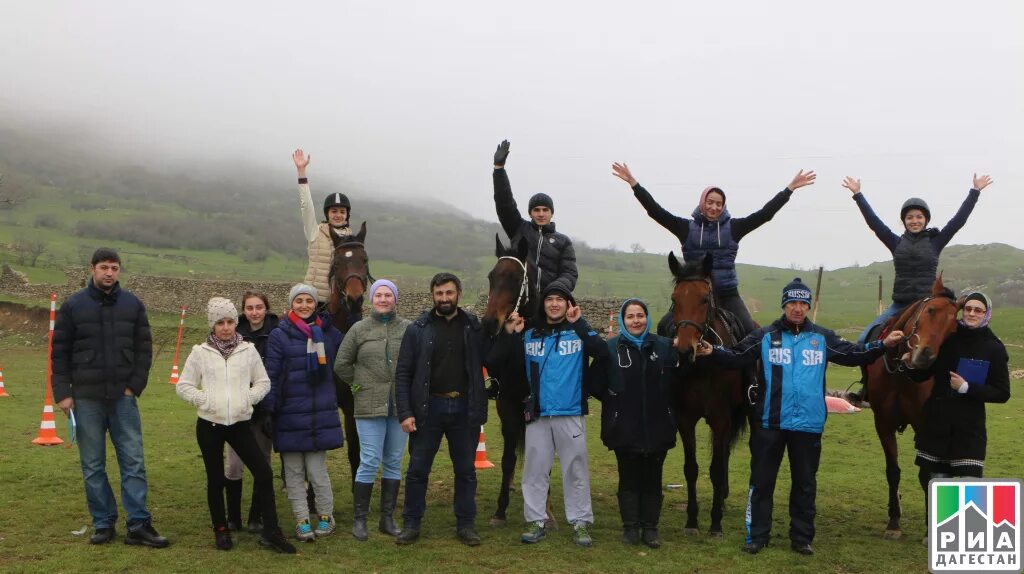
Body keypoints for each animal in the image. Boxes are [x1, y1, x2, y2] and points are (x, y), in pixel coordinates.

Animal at [667, 251, 757, 536]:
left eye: (704, 299)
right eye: (674, 300)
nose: (685, 350)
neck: (702, 367)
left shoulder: (721, 418)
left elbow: (715, 469)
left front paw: (715, 523)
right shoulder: (685, 420)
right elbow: (691, 468)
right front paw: (692, 521)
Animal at [864, 272, 958, 536]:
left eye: (953, 329)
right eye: (931, 310)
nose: (924, 357)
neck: (901, 374)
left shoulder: (924, 425)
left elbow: (927, 474)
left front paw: (928, 530)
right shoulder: (882, 423)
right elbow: (893, 471)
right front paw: (894, 521)